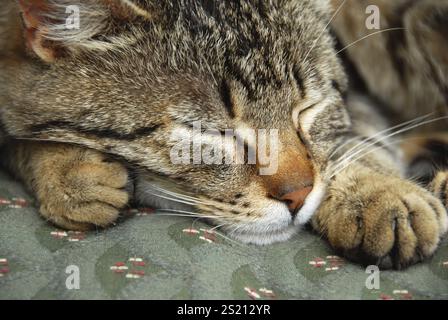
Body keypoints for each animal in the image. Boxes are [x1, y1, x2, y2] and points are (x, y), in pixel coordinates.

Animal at [0, 1, 446, 268]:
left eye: (307, 109)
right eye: (210, 131)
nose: (299, 196)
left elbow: (358, 137)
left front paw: (379, 192)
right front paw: (65, 172)